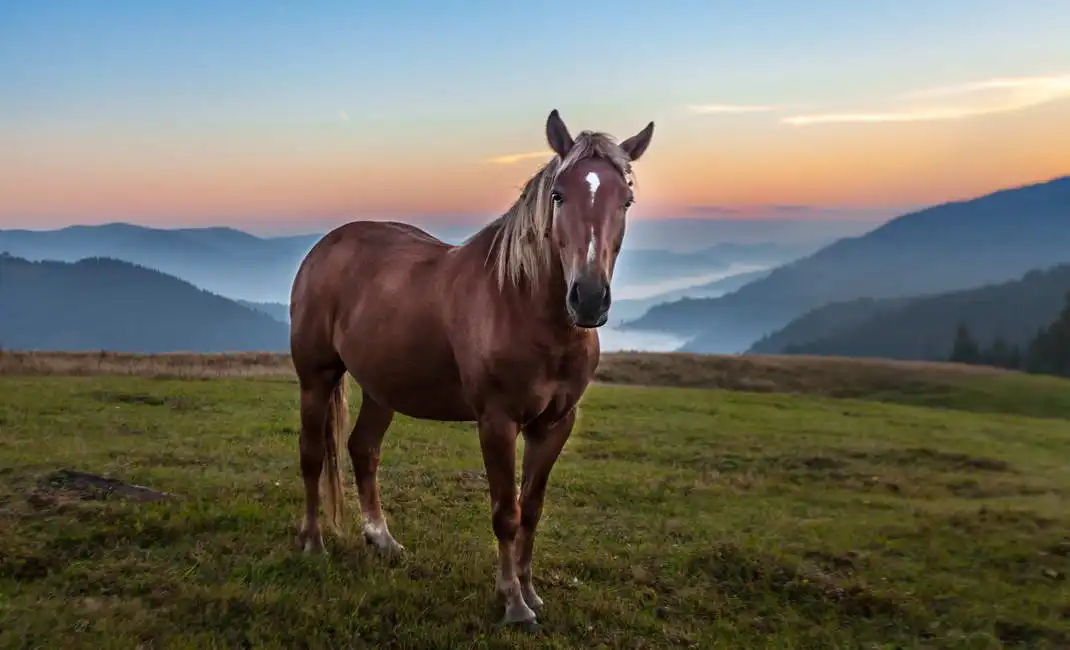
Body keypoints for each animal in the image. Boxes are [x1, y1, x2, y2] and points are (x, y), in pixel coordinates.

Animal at [287, 108, 655, 626]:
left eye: (626, 199)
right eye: (558, 195)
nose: (587, 298)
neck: (522, 305)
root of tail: (326, 246)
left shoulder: (555, 424)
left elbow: (532, 508)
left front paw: (530, 590)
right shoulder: (496, 422)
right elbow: (506, 512)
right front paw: (513, 603)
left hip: (383, 387)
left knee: (363, 450)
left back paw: (382, 539)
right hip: (315, 377)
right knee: (312, 454)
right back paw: (314, 543)